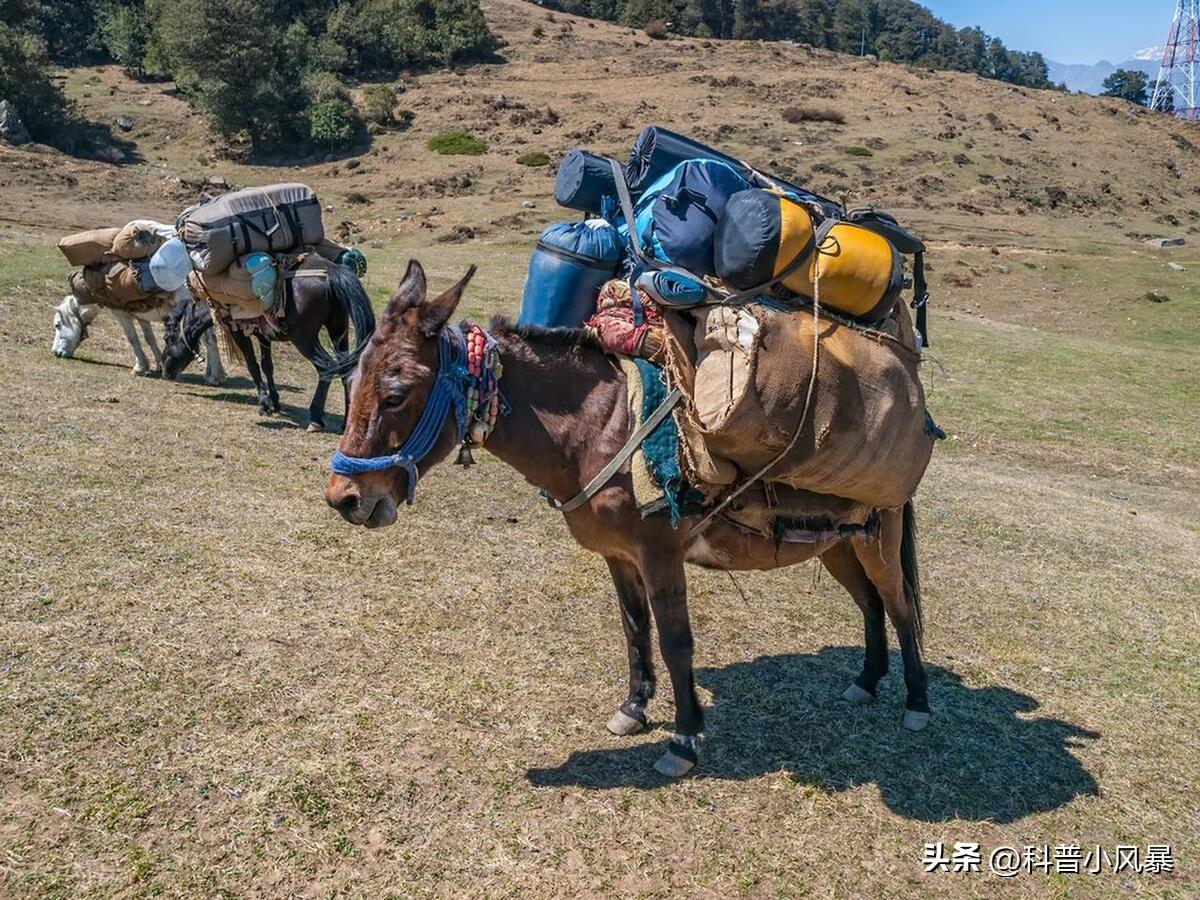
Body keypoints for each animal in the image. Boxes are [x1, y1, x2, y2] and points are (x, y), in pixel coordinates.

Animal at [49, 285, 225, 384]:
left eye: (57, 325)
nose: (56, 352)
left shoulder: (121, 314)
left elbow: (132, 338)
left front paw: (140, 367)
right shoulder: (141, 317)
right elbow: (149, 338)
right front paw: (158, 364)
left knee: (210, 340)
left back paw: (214, 377)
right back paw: (213, 373)